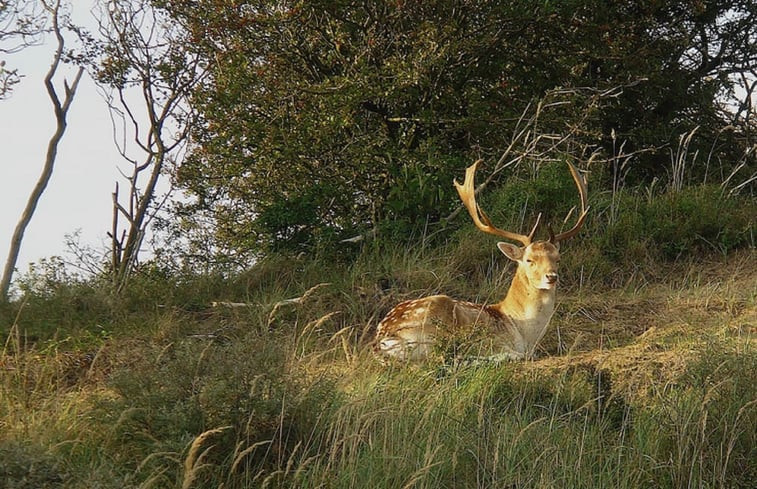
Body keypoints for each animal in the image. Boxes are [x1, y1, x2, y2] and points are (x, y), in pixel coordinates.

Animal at [376, 160, 588, 362]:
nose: (551, 277)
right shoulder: (490, 339)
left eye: (558, 258)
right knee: (444, 357)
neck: (521, 330)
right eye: (529, 260)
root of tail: (382, 340)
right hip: (435, 328)